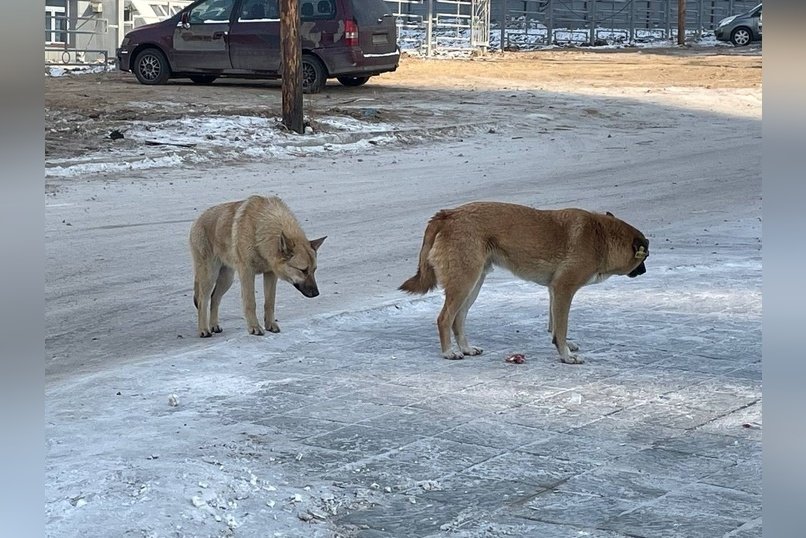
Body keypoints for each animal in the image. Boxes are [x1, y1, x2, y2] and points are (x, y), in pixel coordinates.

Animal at [189, 195, 326, 338]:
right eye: (303, 270)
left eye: (314, 270)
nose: (316, 293)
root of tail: (197, 220)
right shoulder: (247, 274)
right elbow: (251, 302)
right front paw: (254, 327)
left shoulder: (271, 275)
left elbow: (269, 302)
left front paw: (270, 325)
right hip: (210, 277)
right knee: (202, 301)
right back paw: (204, 329)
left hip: (226, 279)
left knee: (214, 298)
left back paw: (214, 325)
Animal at [402, 203, 652, 362]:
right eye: (645, 257)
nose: (645, 271)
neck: (603, 236)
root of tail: (447, 215)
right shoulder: (564, 289)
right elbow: (561, 326)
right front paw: (566, 355)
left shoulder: (554, 291)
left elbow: (554, 325)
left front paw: (563, 345)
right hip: (464, 284)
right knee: (445, 319)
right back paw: (448, 352)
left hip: (473, 285)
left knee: (458, 320)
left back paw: (466, 348)